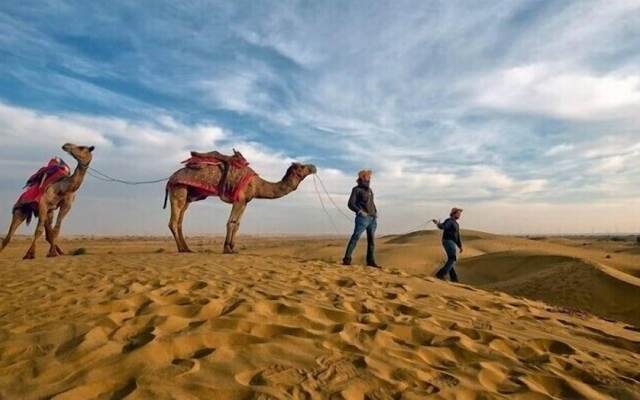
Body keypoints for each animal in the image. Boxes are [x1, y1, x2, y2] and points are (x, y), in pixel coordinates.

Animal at [165, 152, 316, 255]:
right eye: (303, 166)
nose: (314, 167)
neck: (257, 185)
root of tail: (170, 179)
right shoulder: (239, 199)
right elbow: (231, 222)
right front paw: (227, 249)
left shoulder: (245, 202)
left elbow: (237, 224)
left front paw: (232, 247)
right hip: (178, 189)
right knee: (173, 221)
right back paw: (181, 249)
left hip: (188, 196)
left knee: (180, 220)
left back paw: (187, 248)